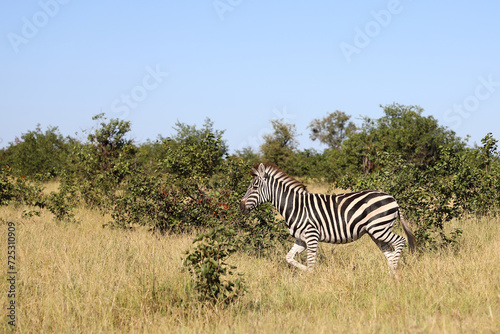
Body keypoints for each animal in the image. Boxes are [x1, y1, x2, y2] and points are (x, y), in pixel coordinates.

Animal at [238, 162, 414, 272]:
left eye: (254, 187)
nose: (240, 207)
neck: (294, 206)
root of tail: (393, 198)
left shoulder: (311, 236)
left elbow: (310, 262)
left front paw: (311, 276)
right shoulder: (301, 240)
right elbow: (289, 258)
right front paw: (306, 271)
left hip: (379, 228)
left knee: (400, 241)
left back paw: (392, 273)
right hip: (375, 232)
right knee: (390, 252)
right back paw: (390, 276)